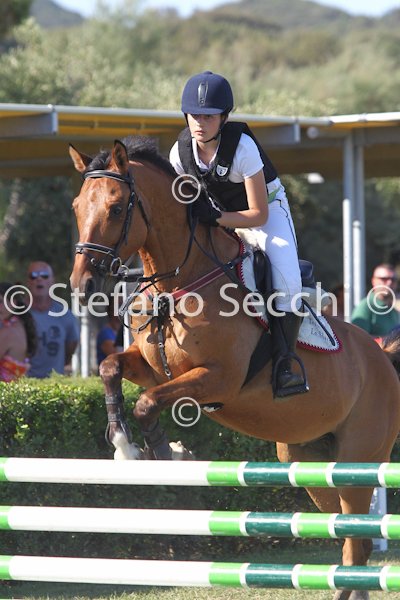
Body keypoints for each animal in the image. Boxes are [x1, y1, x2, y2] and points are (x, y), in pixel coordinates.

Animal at [69, 136, 400, 600]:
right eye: (78, 206)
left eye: (116, 208)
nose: (81, 287)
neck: (181, 281)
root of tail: (382, 357)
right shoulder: (157, 369)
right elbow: (109, 368)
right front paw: (124, 444)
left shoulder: (218, 380)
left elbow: (148, 402)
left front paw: (167, 454)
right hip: (308, 461)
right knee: (351, 538)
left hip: (359, 459)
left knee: (356, 541)